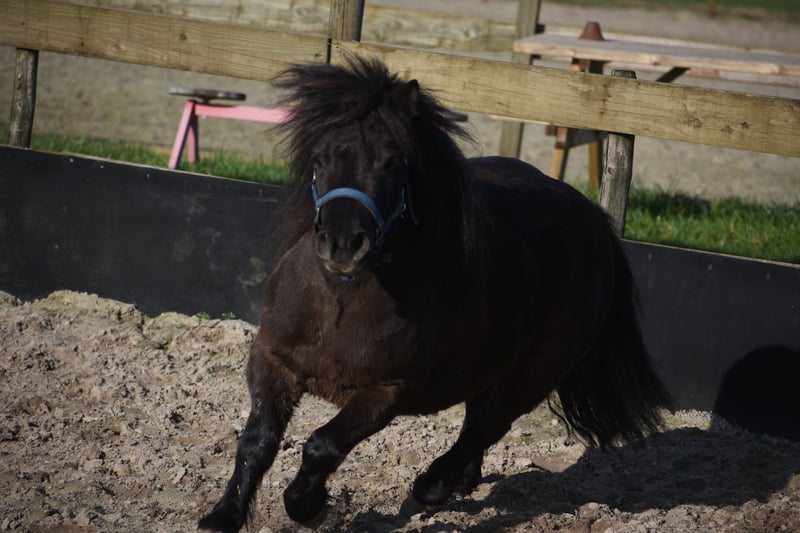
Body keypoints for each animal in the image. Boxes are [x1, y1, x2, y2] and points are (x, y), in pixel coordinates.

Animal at [198, 56, 671, 532]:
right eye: (318, 159)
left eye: (392, 162)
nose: (344, 244)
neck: (340, 304)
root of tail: (594, 221)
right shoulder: (272, 360)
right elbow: (257, 441)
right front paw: (222, 517)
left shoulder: (388, 392)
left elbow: (321, 445)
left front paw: (309, 506)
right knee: (478, 418)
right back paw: (460, 481)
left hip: (538, 370)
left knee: (488, 423)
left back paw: (434, 486)